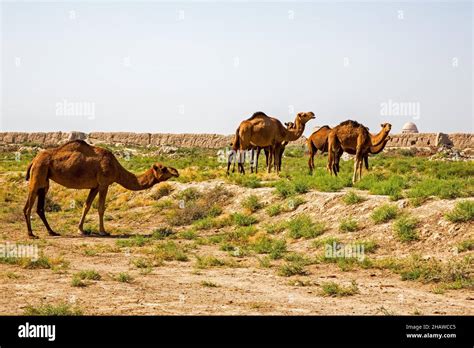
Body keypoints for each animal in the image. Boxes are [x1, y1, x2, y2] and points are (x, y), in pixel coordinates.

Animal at [22, 140, 178, 238]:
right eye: (164, 169)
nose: (176, 172)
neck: (117, 169)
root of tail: (33, 160)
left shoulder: (95, 186)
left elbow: (86, 206)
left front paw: (81, 230)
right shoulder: (104, 184)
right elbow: (101, 208)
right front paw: (103, 231)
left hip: (45, 180)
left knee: (39, 207)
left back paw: (52, 232)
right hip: (38, 173)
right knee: (27, 207)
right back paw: (31, 234)